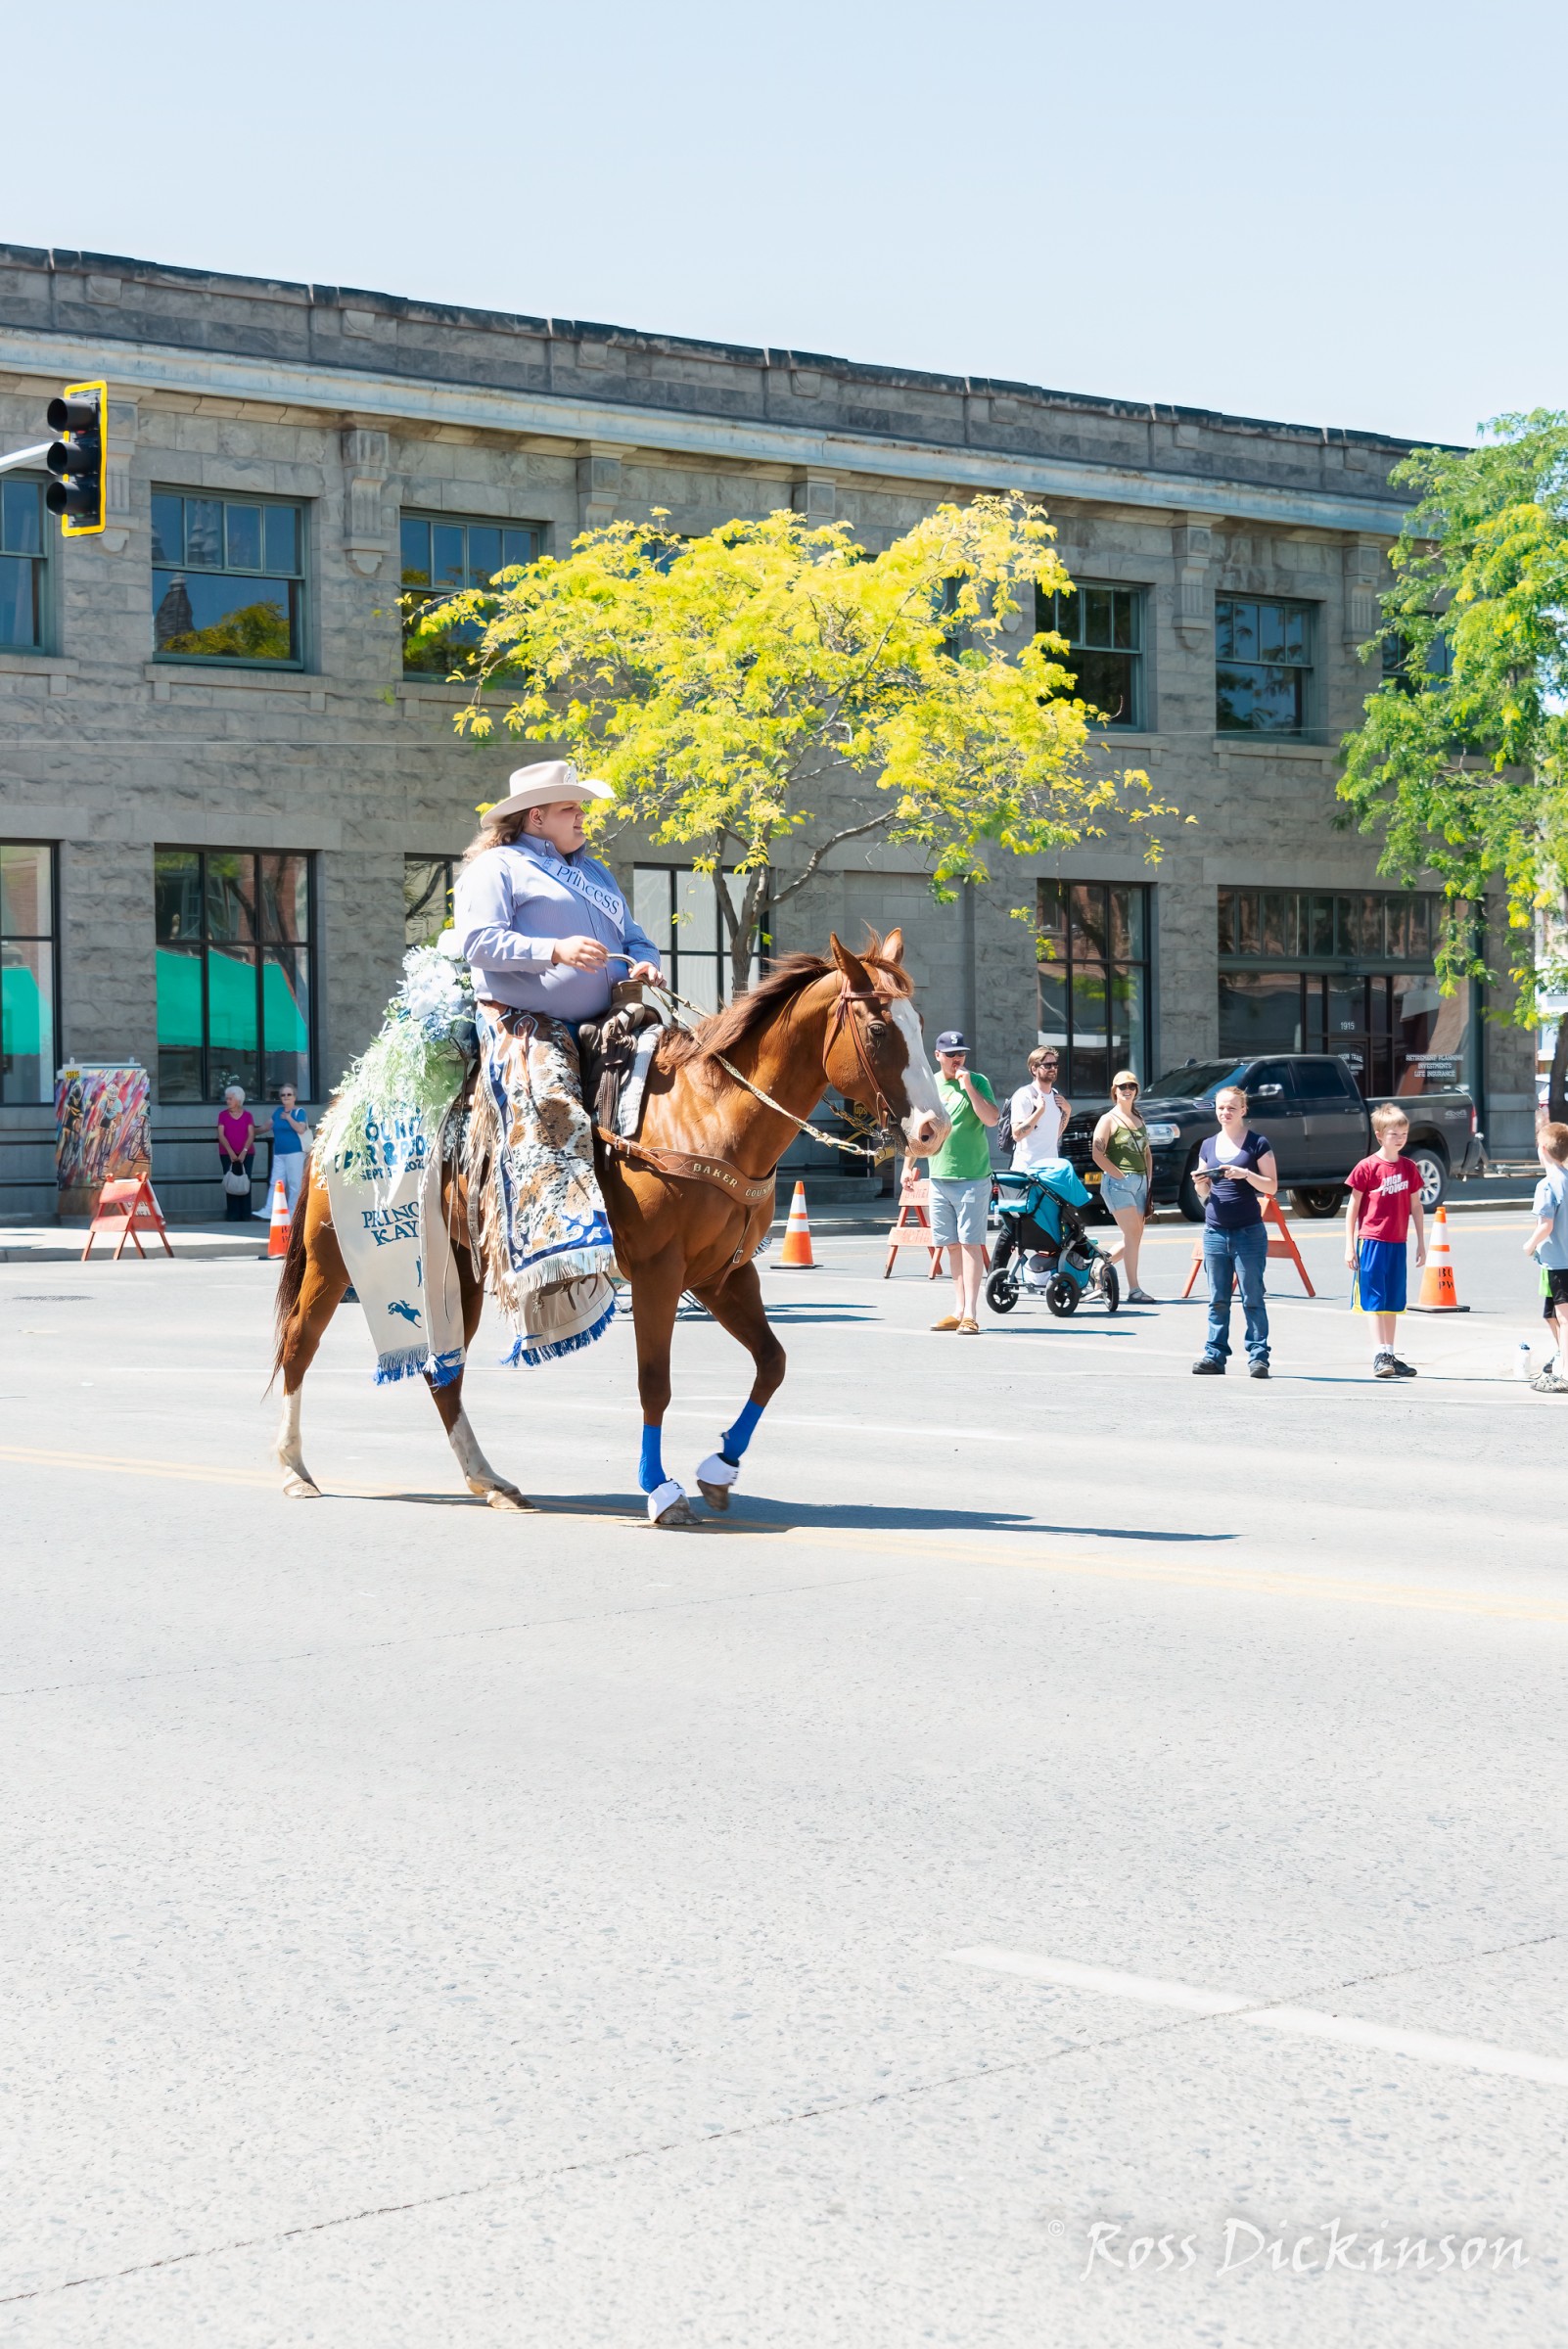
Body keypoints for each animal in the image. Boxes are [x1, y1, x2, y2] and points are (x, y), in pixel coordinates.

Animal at [272, 925, 944, 1531]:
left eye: (920, 1024)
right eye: (878, 1029)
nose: (932, 1129)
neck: (709, 1113)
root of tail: (340, 1107)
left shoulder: (722, 1275)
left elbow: (772, 1363)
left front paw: (719, 1469)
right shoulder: (659, 1273)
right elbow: (655, 1384)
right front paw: (661, 1491)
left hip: (454, 1270)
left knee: (445, 1373)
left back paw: (490, 1482)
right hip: (336, 1257)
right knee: (300, 1345)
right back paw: (293, 1469)